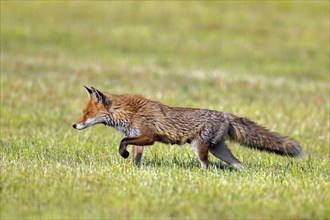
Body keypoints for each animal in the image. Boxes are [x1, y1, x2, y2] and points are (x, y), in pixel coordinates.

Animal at [73, 86, 302, 168]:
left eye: (88, 114)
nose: (74, 124)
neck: (130, 112)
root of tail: (226, 115)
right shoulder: (139, 138)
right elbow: (136, 157)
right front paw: (134, 169)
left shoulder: (148, 137)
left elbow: (123, 141)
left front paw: (123, 154)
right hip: (219, 150)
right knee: (240, 165)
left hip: (200, 147)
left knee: (206, 165)